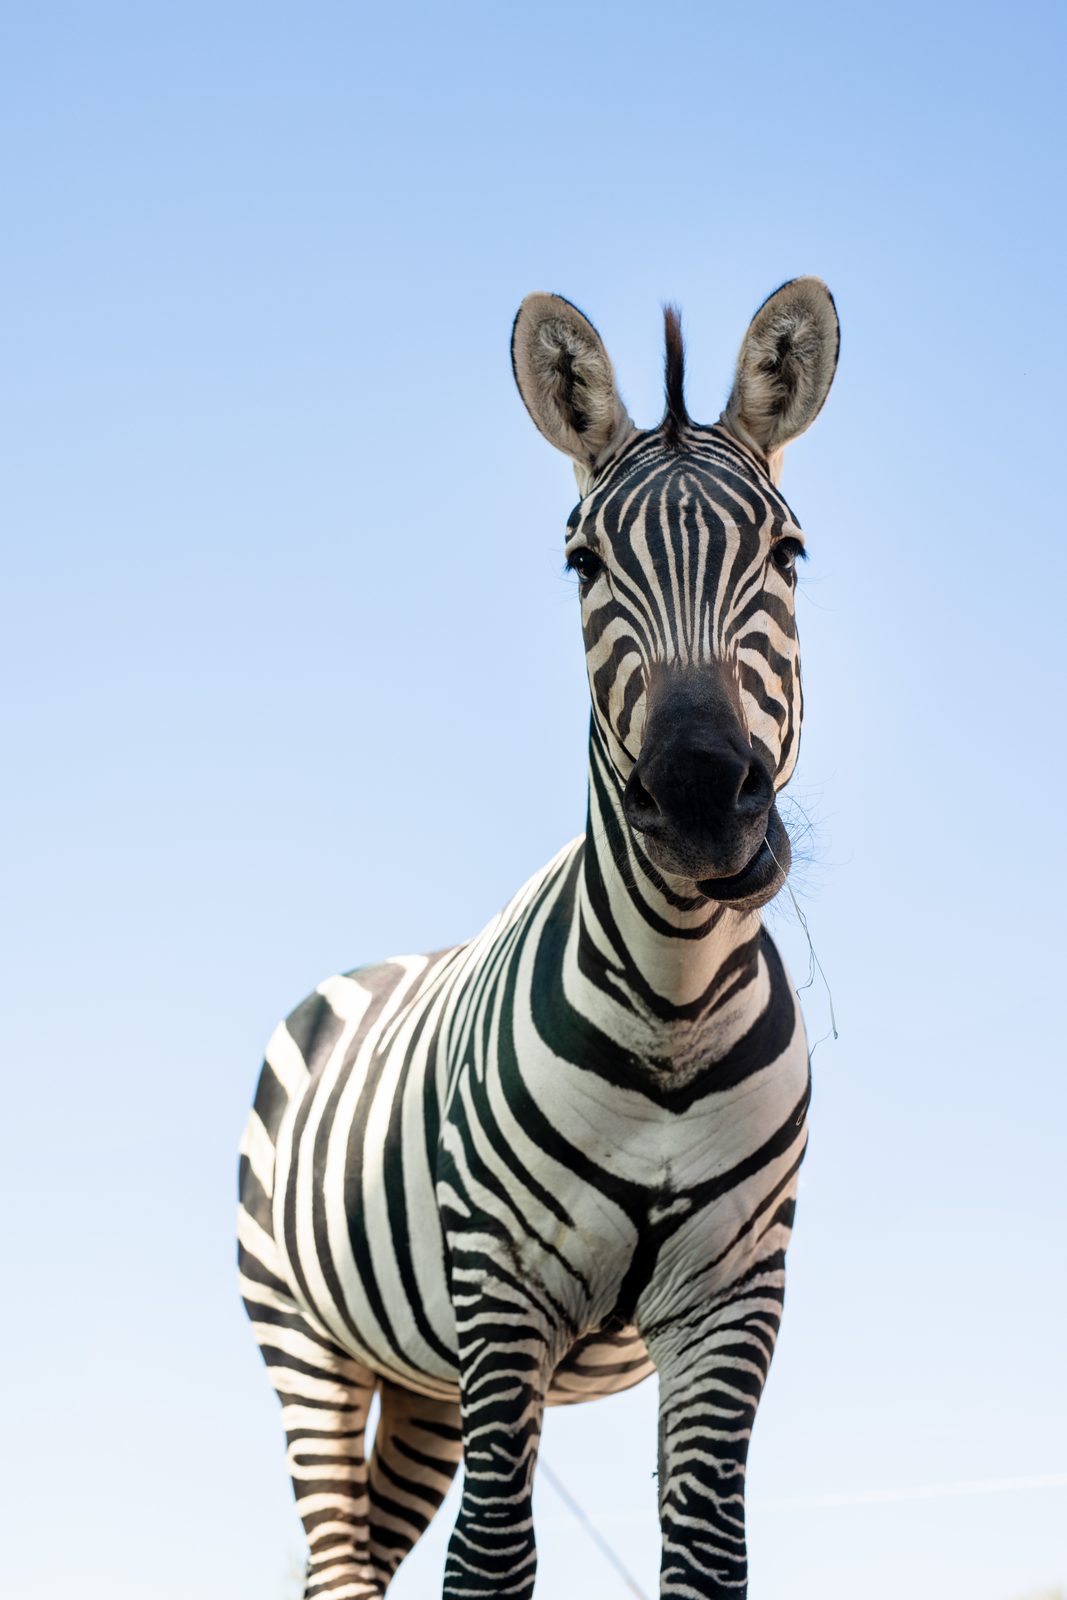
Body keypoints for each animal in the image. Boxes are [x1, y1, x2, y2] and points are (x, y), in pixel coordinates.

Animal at [238, 277, 839, 1599]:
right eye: (581, 563)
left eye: (787, 552)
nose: (700, 797)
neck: (672, 1001)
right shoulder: (505, 1292)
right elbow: (491, 1558)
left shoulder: (731, 1295)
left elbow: (705, 1552)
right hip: (308, 1341)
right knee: (341, 1560)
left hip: (423, 1382)